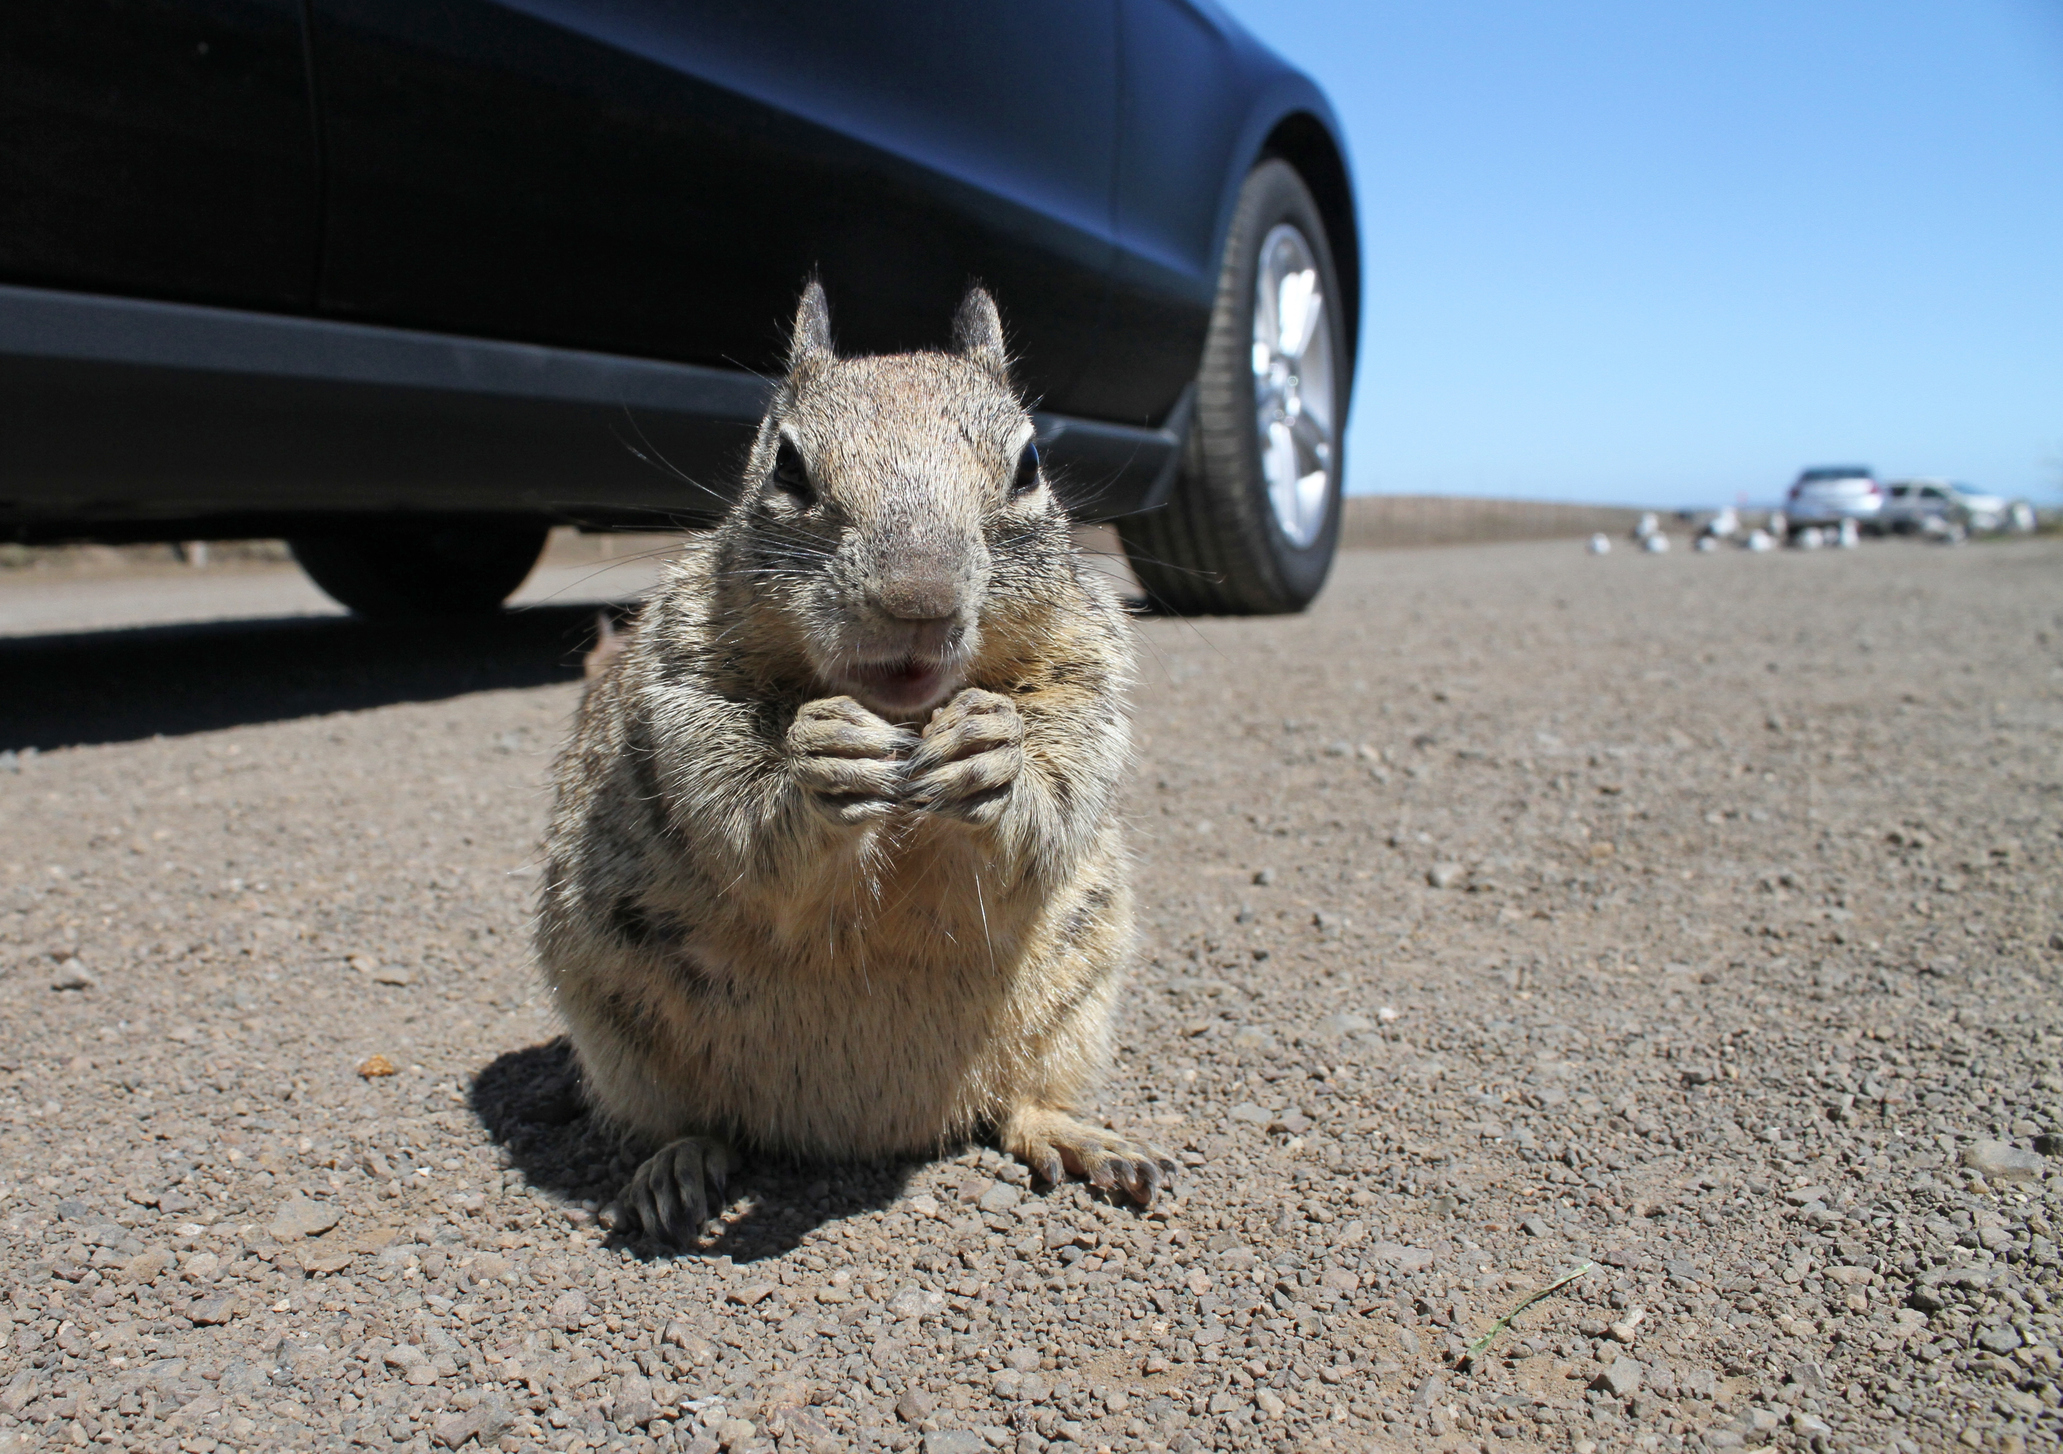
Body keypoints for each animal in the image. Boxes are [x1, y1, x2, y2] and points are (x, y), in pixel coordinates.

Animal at [535, 282, 1171, 1244]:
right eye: (785, 466)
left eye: (1028, 465)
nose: (918, 598)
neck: (904, 720)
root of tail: (863, 1130)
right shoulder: (684, 684)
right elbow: (732, 809)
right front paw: (815, 765)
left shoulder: (1088, 670)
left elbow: (1059, 792)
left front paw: (996, 755)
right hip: (617, 1039)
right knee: (687, 1121)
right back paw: (675, 1167)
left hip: (1075, 1009)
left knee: (1017, 1105)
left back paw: (1077, 1136)